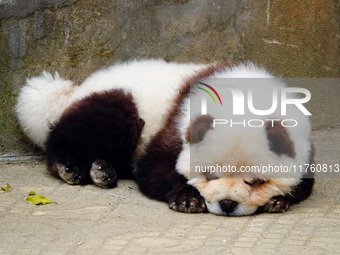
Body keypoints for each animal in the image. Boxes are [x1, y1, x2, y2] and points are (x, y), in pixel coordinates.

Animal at [15, 59, 314, 215]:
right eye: (209, 175)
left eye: (256, 181)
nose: (227, 204)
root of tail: (75, 91)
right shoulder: (178, 122)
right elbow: (154, 168)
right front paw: (187, 199)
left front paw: (278, 200)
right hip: (120, 101)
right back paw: (71, 167)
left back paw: (102, 171)